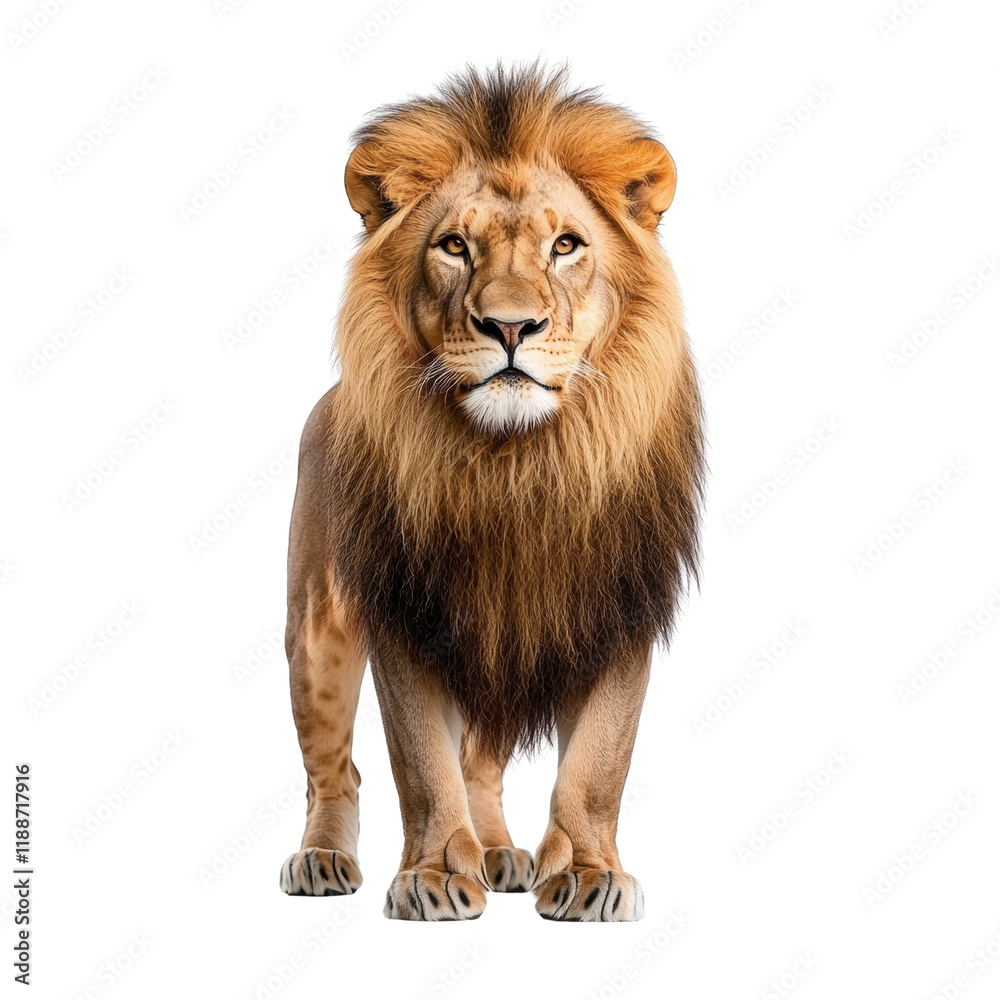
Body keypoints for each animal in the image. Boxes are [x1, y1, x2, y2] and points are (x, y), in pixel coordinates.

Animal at [279, 63, 704, 921]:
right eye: (453, 246)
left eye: (565, 245)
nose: (511, 327)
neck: (516, 465)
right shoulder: (404, 610)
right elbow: (419, 764)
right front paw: (437, 874)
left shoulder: (617, 602)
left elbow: (598, 764)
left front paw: (588, 874)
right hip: (317, 629)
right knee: (334, 768)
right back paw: (324, 857)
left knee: (481, 760)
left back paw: (501, 851)